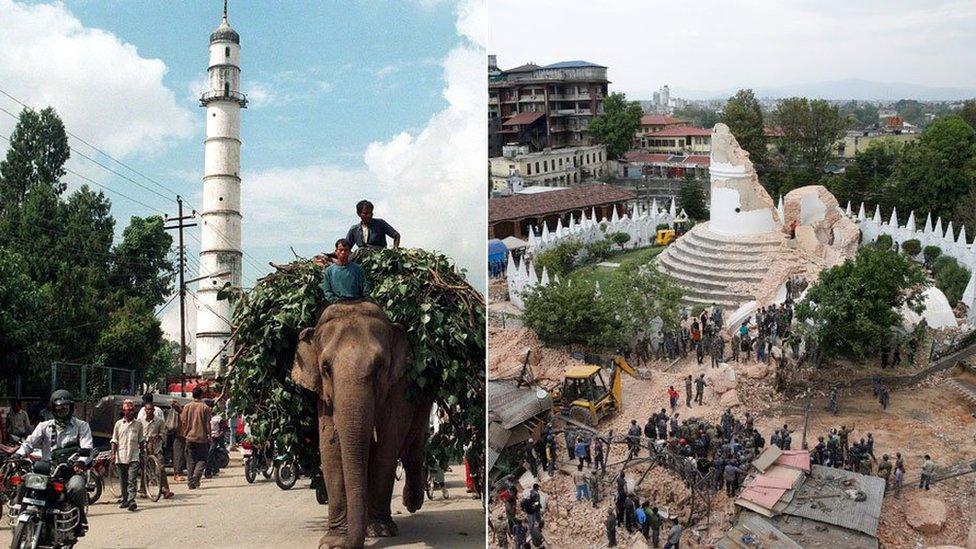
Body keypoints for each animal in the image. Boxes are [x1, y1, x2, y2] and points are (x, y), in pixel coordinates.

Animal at [288, 300, 428, 548]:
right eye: (326, 368)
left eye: (380, 366)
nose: (347, 545)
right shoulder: (324, 398)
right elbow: (330, 451)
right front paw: (333, 542)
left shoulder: (396, 390)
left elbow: (385, 450)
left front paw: (381, 531)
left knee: (414, 447)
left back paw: (410, 504)